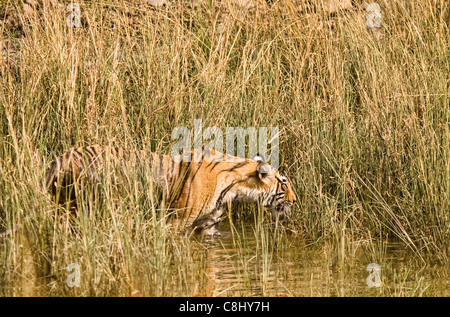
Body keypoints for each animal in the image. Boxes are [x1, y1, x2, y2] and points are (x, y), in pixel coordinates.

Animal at [45, 144, 298, 233]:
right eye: (284, 183)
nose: (295, 201)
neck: (234, 190)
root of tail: (60, 159)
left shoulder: (209, 225)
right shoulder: (177, 221)